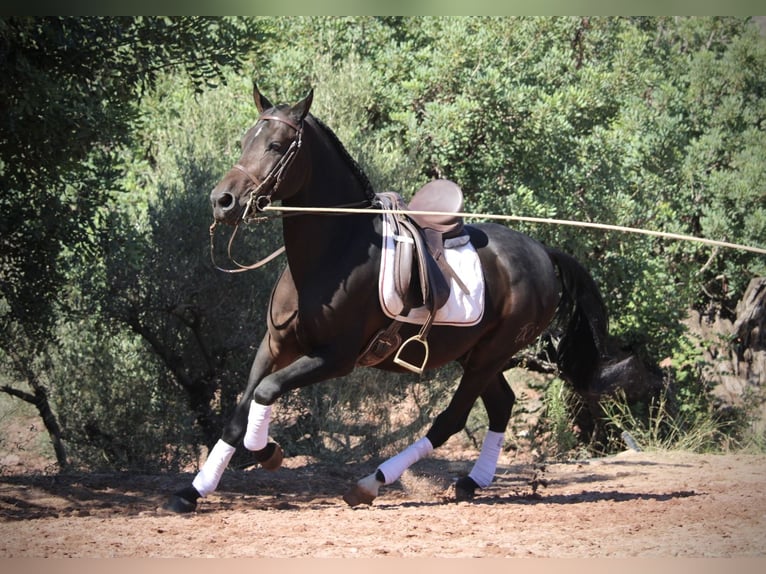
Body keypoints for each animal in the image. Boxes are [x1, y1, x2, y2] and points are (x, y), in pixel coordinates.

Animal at [165, 83, 607, 513]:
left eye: (275, 145)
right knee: (501, 404)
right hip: (477, 354)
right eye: (244, 141)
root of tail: (542, 252)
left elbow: (266, 391)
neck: (333, 252)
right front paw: (192, 491)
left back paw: (370, 483)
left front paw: (269, 452)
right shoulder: (275, 344)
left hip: (491, 354)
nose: (222, 201)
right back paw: (470, 483)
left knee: (451, 419)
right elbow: (238, 415)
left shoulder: (336, 357)